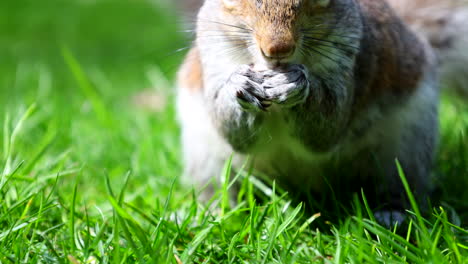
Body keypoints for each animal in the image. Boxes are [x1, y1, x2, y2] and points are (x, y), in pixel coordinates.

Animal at [175, 0, 468, 223]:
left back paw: (392, 213)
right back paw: (206, 215)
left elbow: (326, 132)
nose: (277, 49)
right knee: (217, 189)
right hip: (206, 158)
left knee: (400, 184)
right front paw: (239, 84)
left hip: (406, 144)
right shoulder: (213, 55)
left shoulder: (356, 59)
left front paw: (296, 84)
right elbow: (235, 135)